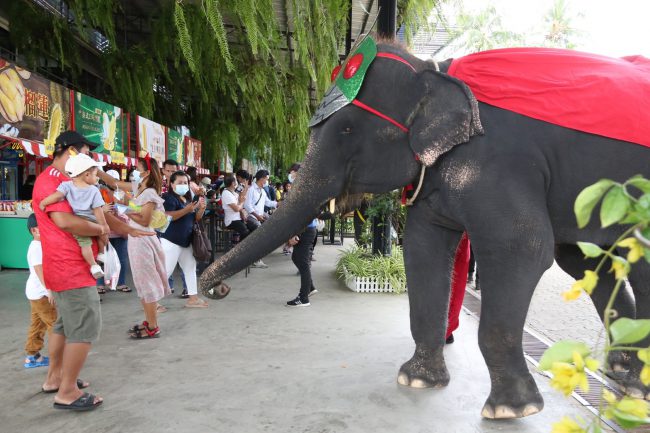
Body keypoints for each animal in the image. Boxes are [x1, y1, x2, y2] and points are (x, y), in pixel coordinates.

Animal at [199, 39, 648, 418]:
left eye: (346, 128)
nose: (215, 290)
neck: (435, 71)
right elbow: (422, 249)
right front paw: (416, 380)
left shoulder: (498, 164)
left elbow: (522, 248)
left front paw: (511, 410)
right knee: (586, 260)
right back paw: (628, 378)